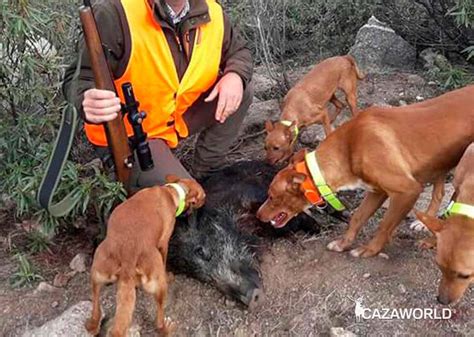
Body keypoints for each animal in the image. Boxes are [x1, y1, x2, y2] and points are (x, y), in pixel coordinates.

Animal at [84, 176, 206, 336]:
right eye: (203, 196)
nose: (205, 201)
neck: (171, 191)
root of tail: (128, 256)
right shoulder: (163, 243)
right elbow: (165, 260)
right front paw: (169, 275)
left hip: (96, 274)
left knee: (96, 309)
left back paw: (92, 325)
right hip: (159, 285)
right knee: (159, 320)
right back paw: (166, 328)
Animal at [260, 84, 474, 258]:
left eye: (271, 196)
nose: (258, 215)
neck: (350, 147)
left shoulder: (407, 191)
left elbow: (384, 226)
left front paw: (369, 250)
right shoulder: (376, 191)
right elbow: (357, 218)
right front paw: (343, 243)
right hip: (439, 163)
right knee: (440, 192)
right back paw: (424, 223)